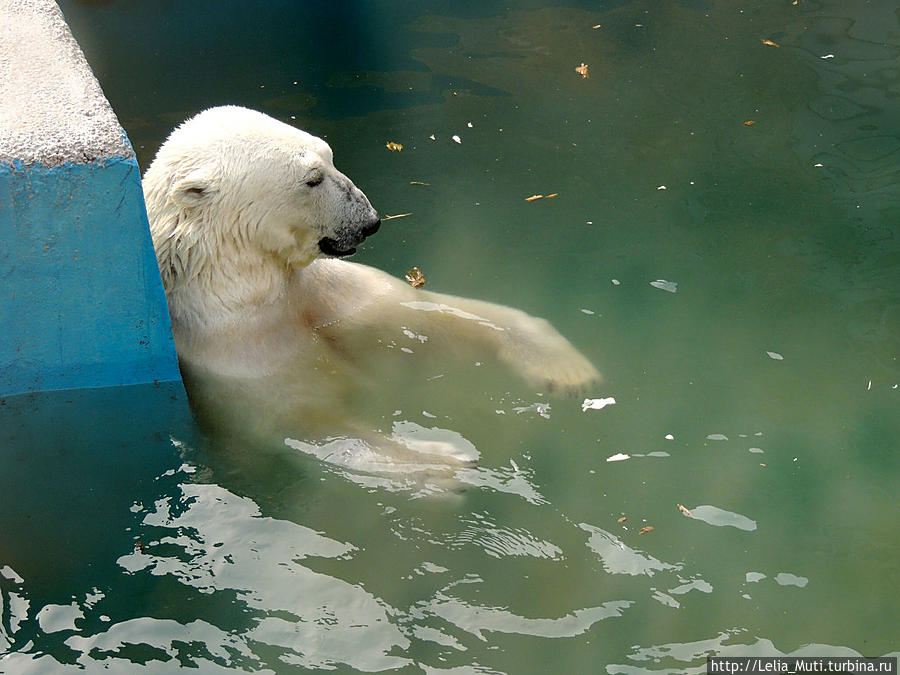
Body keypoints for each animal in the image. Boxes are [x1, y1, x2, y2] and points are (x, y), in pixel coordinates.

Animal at [144, 105, 600, 476]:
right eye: (312, 179)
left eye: (329, 154)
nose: (369, 221)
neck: (246, 289)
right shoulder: (240, 357)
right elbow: (300, 421)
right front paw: (448, 460)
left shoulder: (332, 297)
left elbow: (424, 313)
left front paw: (564, 368)